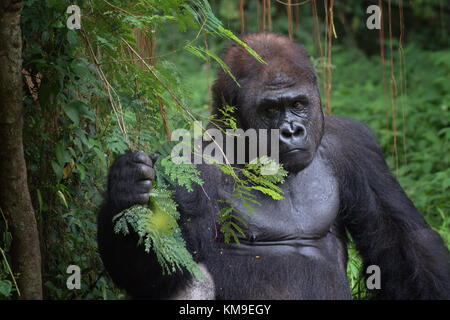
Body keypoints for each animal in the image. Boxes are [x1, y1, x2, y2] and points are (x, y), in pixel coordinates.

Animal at [97, 32, 450, 300]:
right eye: (270, 110)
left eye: (298, 104)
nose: (292, 131)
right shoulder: (185, 164)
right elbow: (165, 267)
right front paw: (124, 190)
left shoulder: (355, 146)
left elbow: (402, 241)